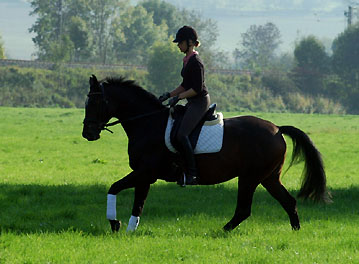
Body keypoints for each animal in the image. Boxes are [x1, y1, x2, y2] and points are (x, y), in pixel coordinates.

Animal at [82, 75, 332, 233]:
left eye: (94, 102)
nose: (88, 133)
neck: (147, 123)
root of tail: (277, 128)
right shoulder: (145, 175)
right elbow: (138, 203)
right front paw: (130, 230)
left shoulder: (145, 172)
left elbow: (114, 187)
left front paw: (114, 223)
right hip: (269, 177)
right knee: (288, 202)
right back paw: (296, 231)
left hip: (250, 177)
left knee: (244, 209)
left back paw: (221, 230)